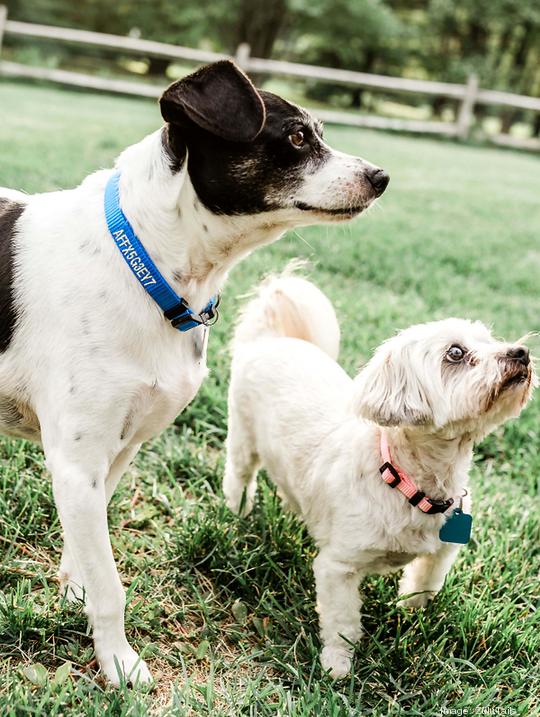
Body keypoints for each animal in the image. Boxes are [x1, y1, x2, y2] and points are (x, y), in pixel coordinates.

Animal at [0, 60, 388, 684]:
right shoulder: (76, 463)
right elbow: (111, 586)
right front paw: (118, 664)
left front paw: (74, 593)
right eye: (297, 137)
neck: (143, 265)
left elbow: (87, 553)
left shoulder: (115, 454)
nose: (381, 177)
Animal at [225, 270, 536, 676]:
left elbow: (426, 581)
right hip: (243, 435)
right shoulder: (337, 567)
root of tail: (275, 339)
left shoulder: (442, 549)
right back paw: (238, 511)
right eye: (455, 353)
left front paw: (412, 613)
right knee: (239, 473)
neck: (406, 481)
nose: (520, 352)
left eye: (491, 339)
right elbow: (342, 621)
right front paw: (337, 665)